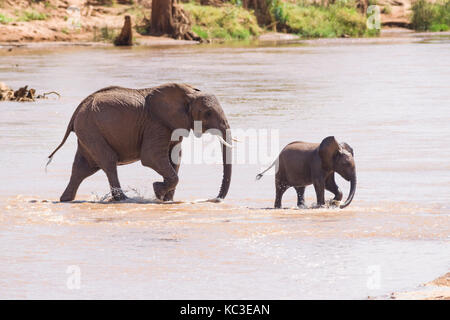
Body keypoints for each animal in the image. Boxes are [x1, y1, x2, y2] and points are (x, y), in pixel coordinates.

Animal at [48, 84, 232, 201]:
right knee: (108, 162)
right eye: (208, 113)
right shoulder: (156, 124)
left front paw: (166, 199)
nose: (216, 199)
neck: (189, 93)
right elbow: (151, 158)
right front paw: (157, 190)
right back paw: (124, 199)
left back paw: (66, 199)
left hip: (88, 131)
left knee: (83, 168)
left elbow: (176, 157)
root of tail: (77, 111)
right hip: (91, 129)